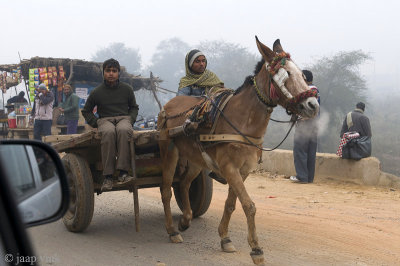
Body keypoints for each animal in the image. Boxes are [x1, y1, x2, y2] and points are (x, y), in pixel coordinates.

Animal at [156, 37, 318, 264]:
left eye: (302, 75)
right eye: (285, 75)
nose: (313, 105)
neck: (242, 121)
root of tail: (169, 105)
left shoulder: (243, 170)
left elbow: (231, 204)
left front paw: (225, 238)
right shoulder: (230, 168)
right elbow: (249, 205)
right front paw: (256, 249)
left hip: (197, 160)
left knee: (185, 183)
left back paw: (186, 220)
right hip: (169, 152)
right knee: (166, 189)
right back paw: (172, 230)